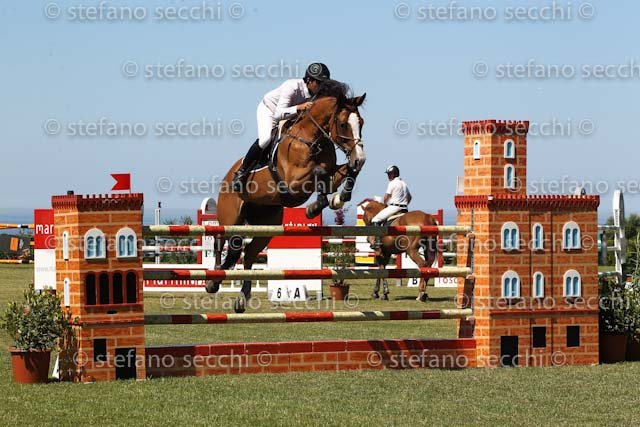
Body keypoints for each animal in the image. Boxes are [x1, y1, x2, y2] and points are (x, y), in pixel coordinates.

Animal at [206, 81, 366, 312]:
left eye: (361, 123)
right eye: (344, 124)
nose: (360, 158)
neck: (312, 138)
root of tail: (228, 175)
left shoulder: (330, 175)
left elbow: (344, 173)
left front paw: (337, 198)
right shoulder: (293, 182)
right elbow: (318, 172)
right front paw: (316, 206)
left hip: (267, 225)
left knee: (249, 253)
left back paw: (242, 298)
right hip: (229, 217)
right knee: (220, 242)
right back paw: (213, 280)